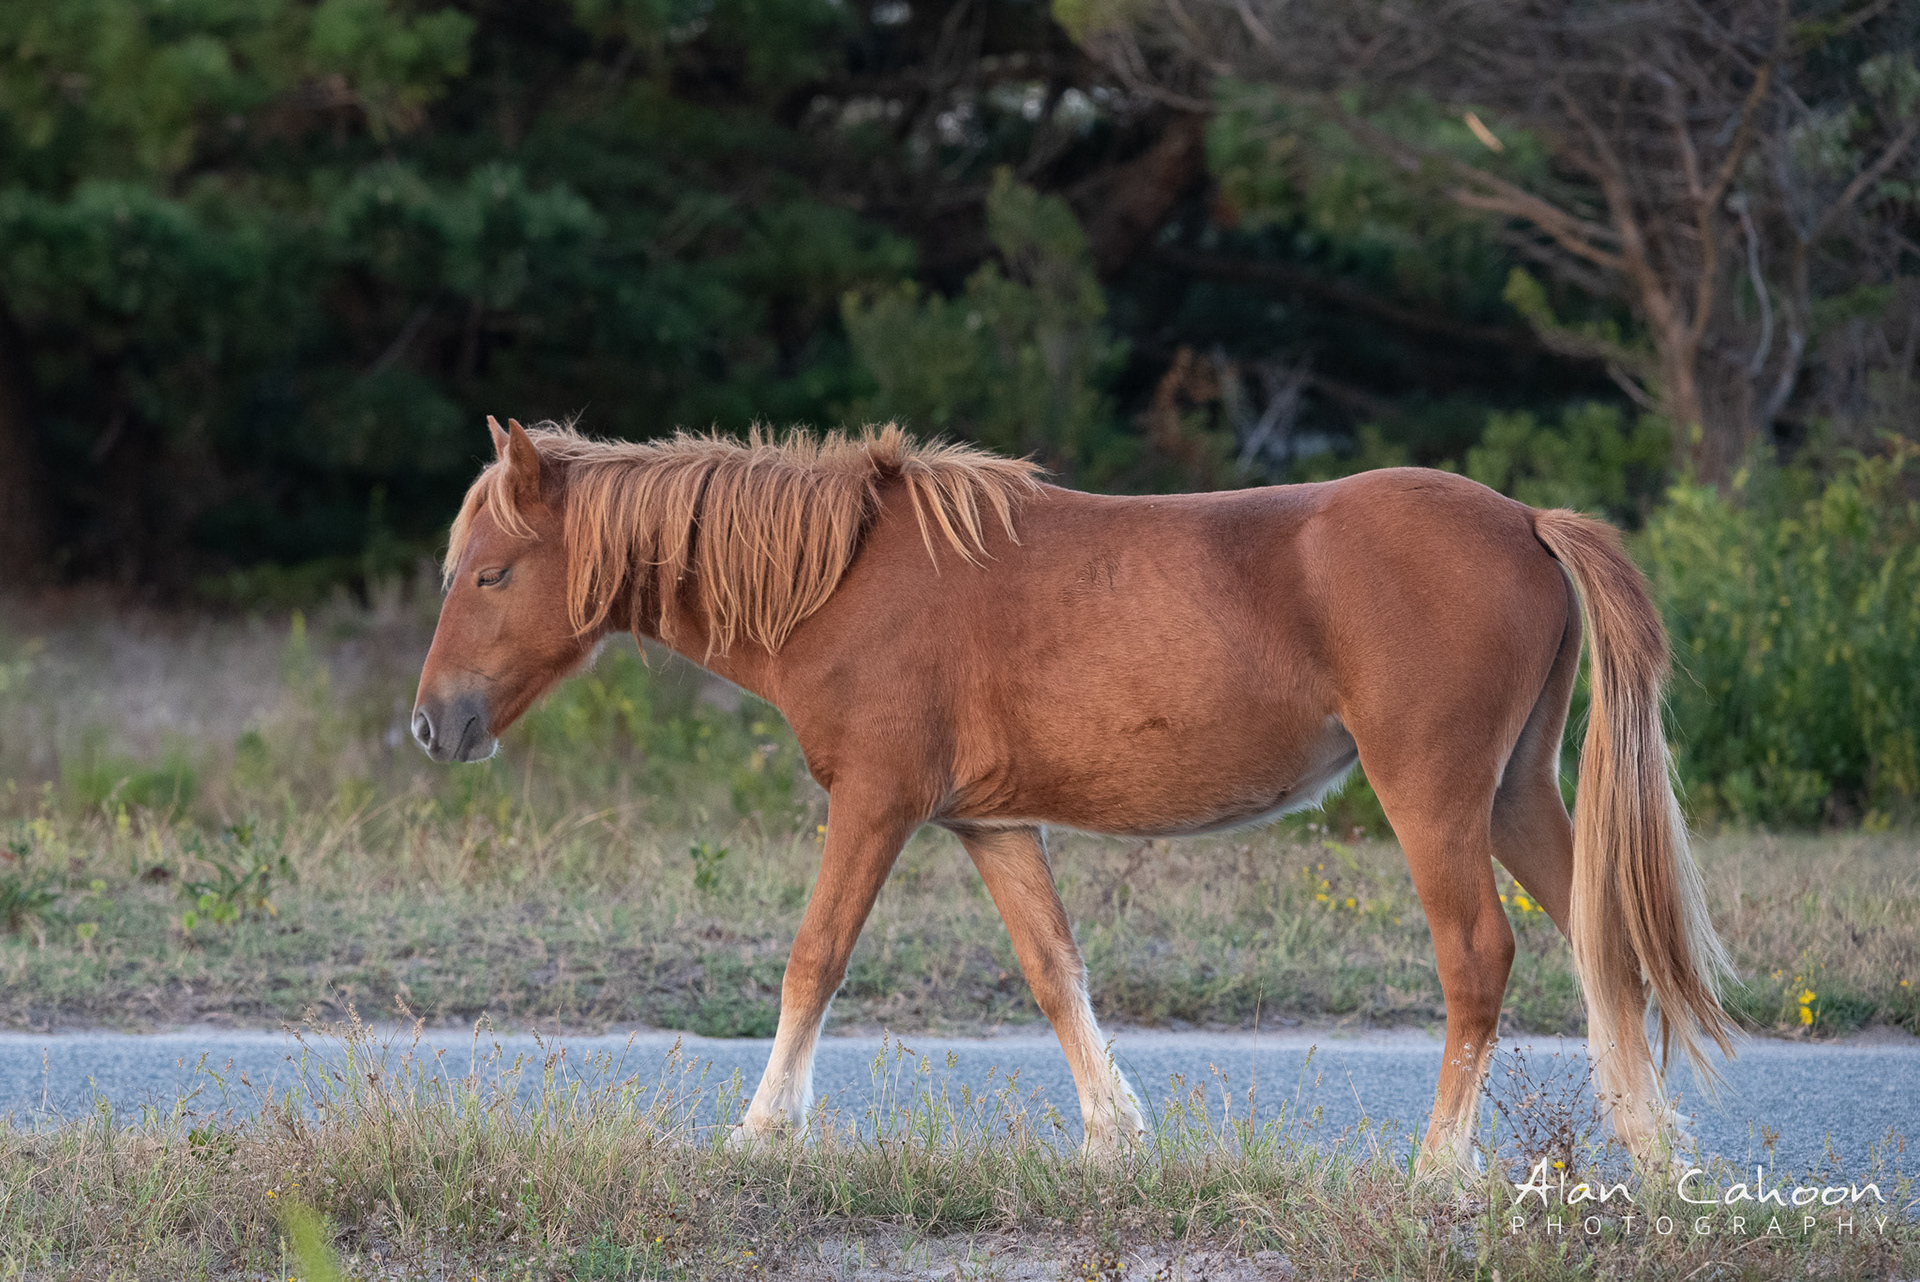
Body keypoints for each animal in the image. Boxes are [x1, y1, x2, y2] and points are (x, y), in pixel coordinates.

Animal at [412, 416, 1734, 1175]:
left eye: (491, 573)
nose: (434, 724)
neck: (844, 579)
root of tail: (1526, 520)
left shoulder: (878, 804)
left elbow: (813, 959)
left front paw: (761, 1129)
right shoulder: (990, 822)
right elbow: (1055, 970)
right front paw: (1115, 1134)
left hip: (1436, 799)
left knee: (1479, 960)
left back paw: (1438, 1169)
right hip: (1514, 794)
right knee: (1603, 943)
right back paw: (1654, 1150)